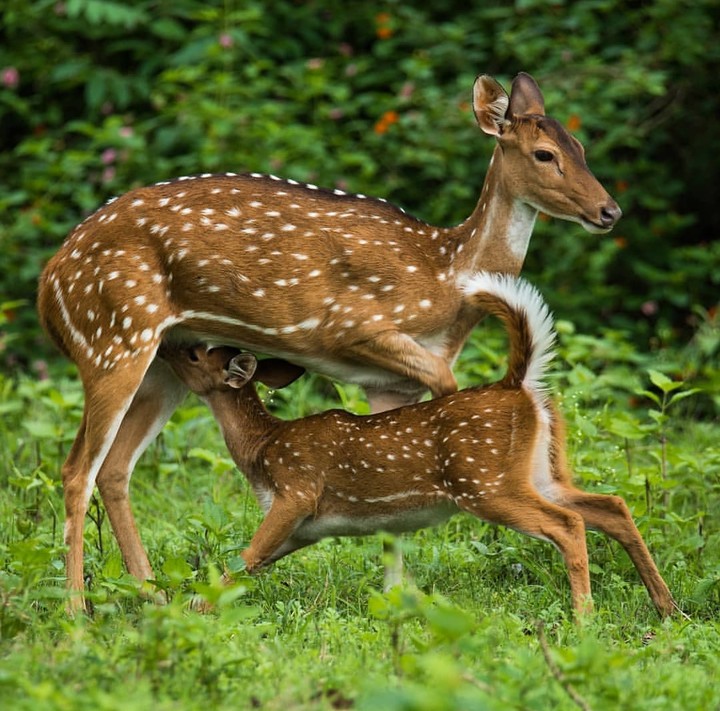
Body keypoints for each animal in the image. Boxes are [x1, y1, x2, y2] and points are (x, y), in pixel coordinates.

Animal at [37, 71, 622, 611]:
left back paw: (151, 594)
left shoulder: (390, 384)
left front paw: (395, 599)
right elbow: (445, 387)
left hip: (162, 360)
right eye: (544, 154)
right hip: (112, 340)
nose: (610, 211)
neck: (448, 278)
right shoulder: (354, 328)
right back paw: (77, 610)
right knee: (76, 469)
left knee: (115, 468)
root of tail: (49, 283)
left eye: (581, 147)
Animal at [157, 272, 674, 619]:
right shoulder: (304, 529)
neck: (262, 447)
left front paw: (183, 611)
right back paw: (667, 607)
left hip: (484, 481)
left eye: (194, 354)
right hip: (544, 471)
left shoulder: (297, 492)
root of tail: (519, 386)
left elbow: (241, 559)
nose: (166, 344)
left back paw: (584, 619)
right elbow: (250, 567)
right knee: (612, 505)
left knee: (568, 524)